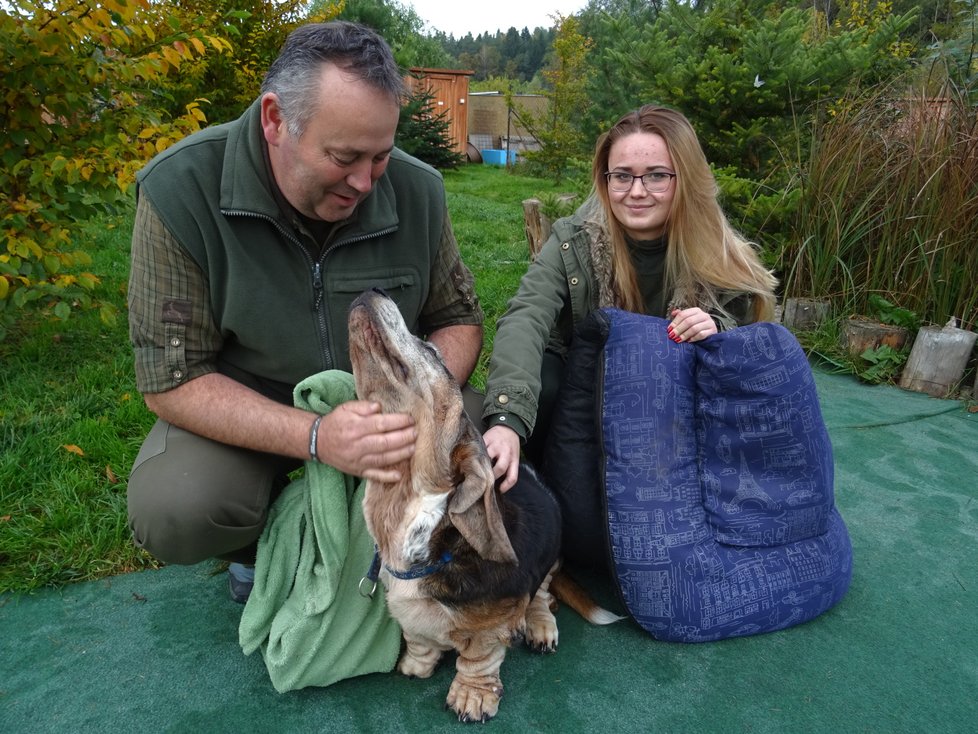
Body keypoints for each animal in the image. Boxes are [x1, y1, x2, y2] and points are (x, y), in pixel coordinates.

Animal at [346, 288, 612, 724]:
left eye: (432, 350)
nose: (374, 290)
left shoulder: (491, 628)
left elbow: (479, 658)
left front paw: (472, 696)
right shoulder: (409, 616)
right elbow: (418, 637)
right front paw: (416, 664)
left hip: (552, 557)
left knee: (543, 596)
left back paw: (539, 626)